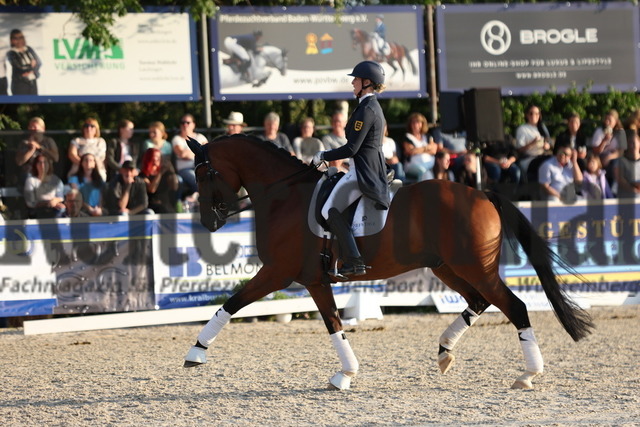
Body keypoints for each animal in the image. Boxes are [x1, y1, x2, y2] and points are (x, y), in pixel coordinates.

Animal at [182, 134, 594, 391]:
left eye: (203, 173)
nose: (209, 222)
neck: (285, 195)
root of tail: (482, 194)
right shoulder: (314, 280)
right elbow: (334, 325)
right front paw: (345, 375)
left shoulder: (278, 273)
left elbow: (233, 303)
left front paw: (195, 352)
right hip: (447, 267)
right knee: (479, 301)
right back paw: (444, 351)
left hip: (474, 267)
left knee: (514, 306)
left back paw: (527, 375)